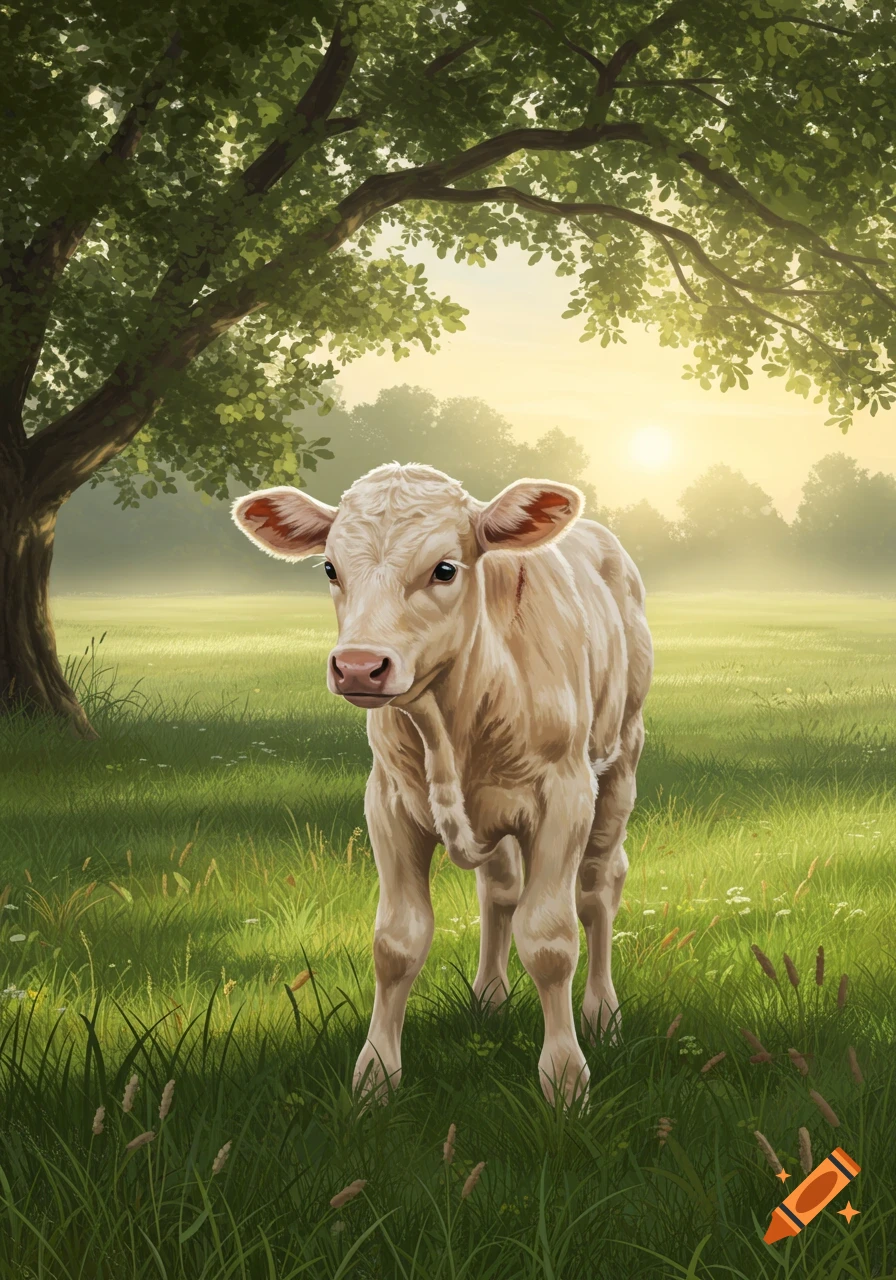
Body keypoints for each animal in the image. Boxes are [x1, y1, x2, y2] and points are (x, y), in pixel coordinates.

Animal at [232, 463, 653, 1107]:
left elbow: (550, 937)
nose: (358, 665)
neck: (452, 720)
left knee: (598, 887)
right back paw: (489, 999)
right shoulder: (387, 803)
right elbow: (396, 943)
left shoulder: (565, 795)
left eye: (445, 569)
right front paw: (375, 1077)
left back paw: (603, 1015)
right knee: (500, 891)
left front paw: (564, 1079)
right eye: (330, 568)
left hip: (620, 760)